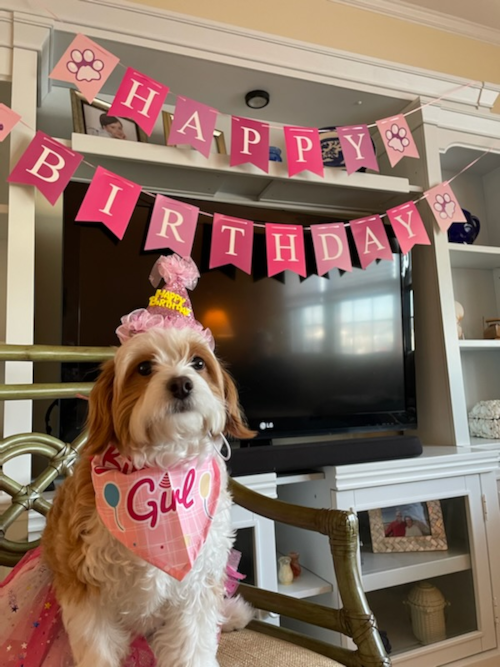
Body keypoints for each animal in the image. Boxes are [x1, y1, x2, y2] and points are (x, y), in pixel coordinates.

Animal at [40, 328, 254, 667]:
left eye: (198, 362)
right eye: (143, 368)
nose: (181, 383)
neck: (162, 469)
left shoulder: (196, 587)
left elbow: (193, 647)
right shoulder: (85, 590)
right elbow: (98, 650)